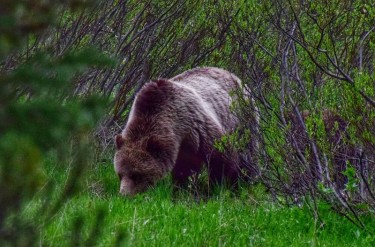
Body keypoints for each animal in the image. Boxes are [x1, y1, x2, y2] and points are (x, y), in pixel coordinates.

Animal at [113, 67, 245, 195]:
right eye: (119, 174)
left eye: (136, 175)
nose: (124, 194)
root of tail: (232, 74)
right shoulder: (184, 145)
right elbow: (184, 169)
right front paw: (181, 189)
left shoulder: (197, 126)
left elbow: (222, 156)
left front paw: (223, 185)